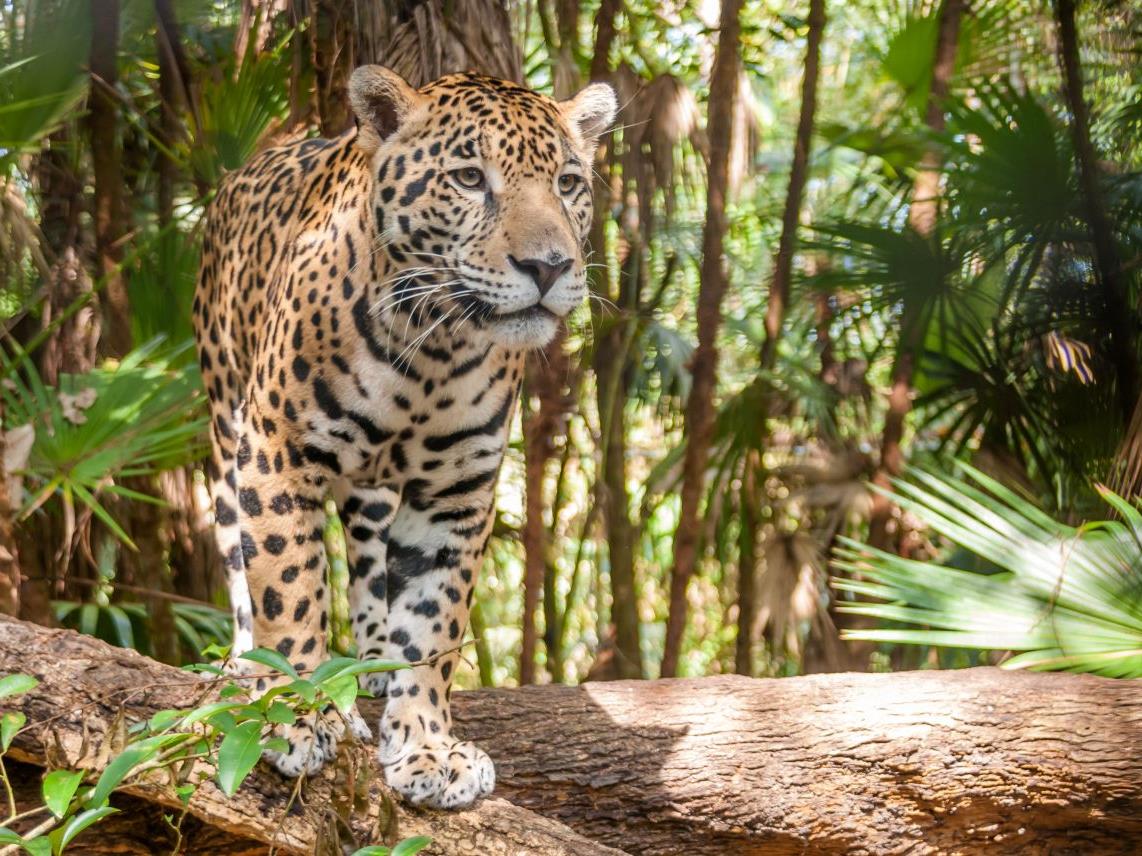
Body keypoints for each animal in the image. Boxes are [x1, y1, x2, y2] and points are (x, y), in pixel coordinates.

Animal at [192, 64, 616, 810]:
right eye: (470, 178)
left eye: (567, 183)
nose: (549, 267)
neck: (434, 350)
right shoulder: (276, 453)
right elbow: (289, 587)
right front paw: (295, 715)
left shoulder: (456, 492)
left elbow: (432, 618)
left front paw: (427, 745)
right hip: (224, 429)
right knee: (241, 566)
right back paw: (247, 667)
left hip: (372, 490)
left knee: (367, 563)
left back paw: (370, 665)